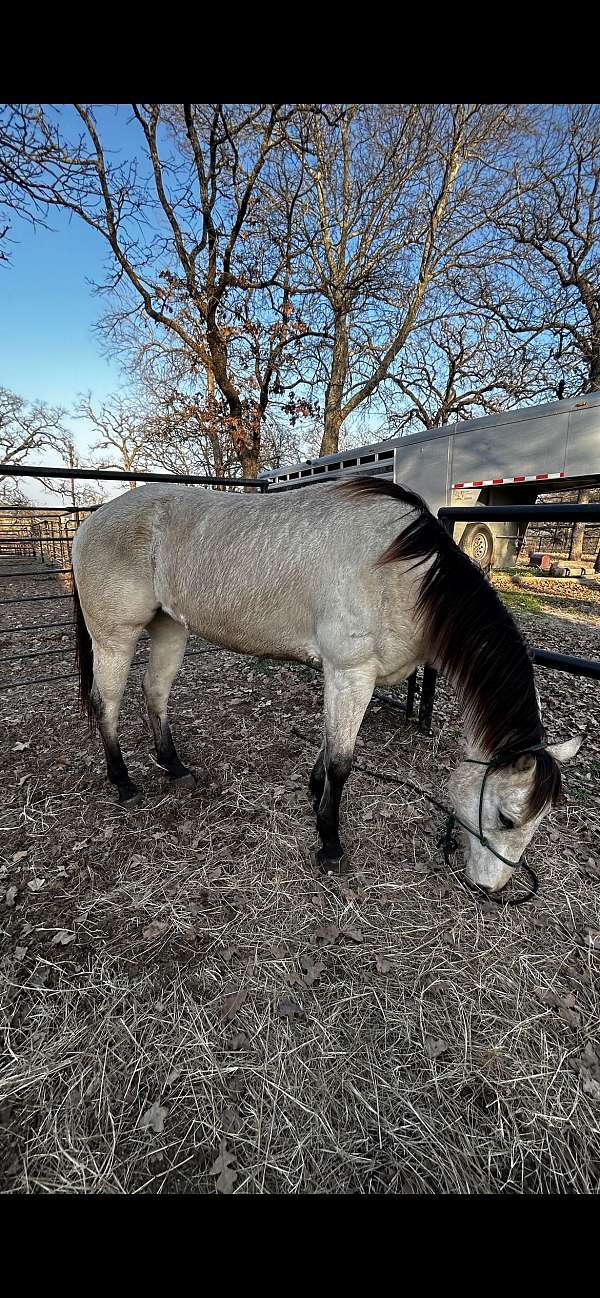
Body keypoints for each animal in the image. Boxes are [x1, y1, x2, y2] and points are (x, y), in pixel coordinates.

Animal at [70, 477, 581, 893]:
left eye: (536, 823)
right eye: (506, 818)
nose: (490, 888)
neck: (404, 573)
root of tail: (91, 520)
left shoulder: (352, 677)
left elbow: (329, 748)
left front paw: (315, 797)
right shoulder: (350, 671)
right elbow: (341, 761)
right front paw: (330, 844)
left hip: (170, 628)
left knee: (155, 692)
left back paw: (174, 766)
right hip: (115, 636)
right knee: (107, 703)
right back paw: (123, 782)